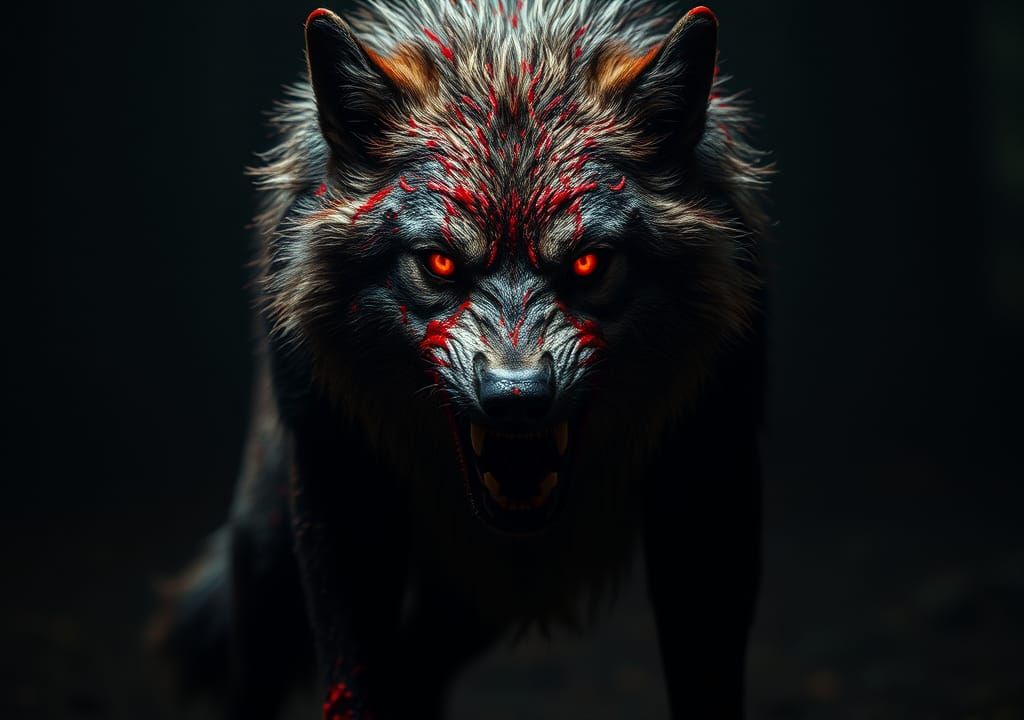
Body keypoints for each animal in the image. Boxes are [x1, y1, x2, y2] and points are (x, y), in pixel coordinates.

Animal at [149, 1, 771, 718]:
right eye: (441, 264)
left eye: (590, 263)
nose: (517, 396)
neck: (509, 54)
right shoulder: (342, 493)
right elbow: (350, 681)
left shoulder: (711, 486)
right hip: (270, 543)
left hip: (477, 603)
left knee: (417, 669)